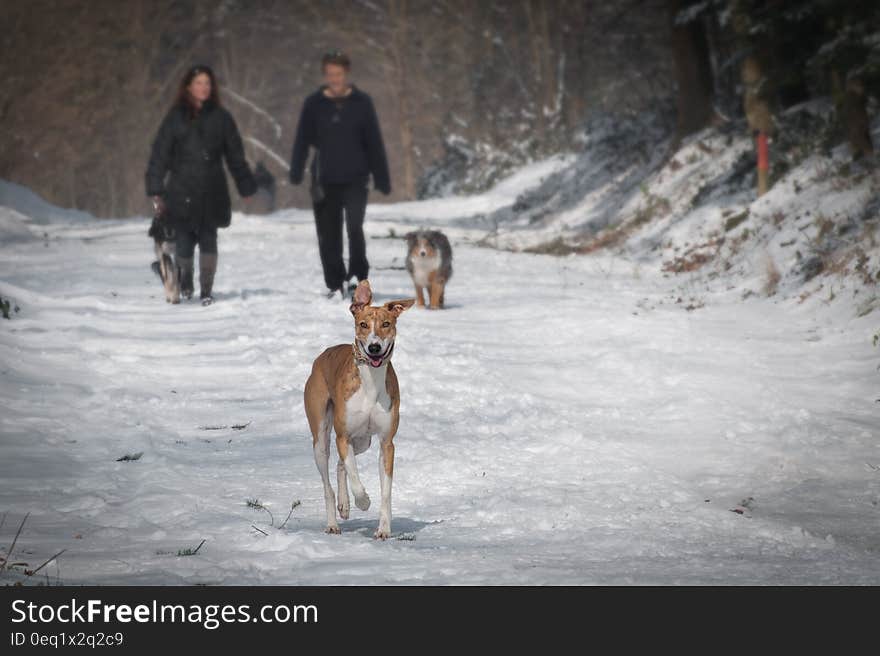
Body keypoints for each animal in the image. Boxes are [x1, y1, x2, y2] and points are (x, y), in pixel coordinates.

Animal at [302, 280, 416, 540]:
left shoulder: (386, 443)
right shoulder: (343, 436)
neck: (371, 381)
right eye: (363, 324)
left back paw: (344, 505)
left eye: (386, 324)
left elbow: (386, 490)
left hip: (364, 440)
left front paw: (383, 529)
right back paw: (333, 522)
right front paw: (363, 501)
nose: (374, 347)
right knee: (329, 482)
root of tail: (322, 355)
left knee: (340, 465)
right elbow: (354, 474)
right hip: (321, 438)